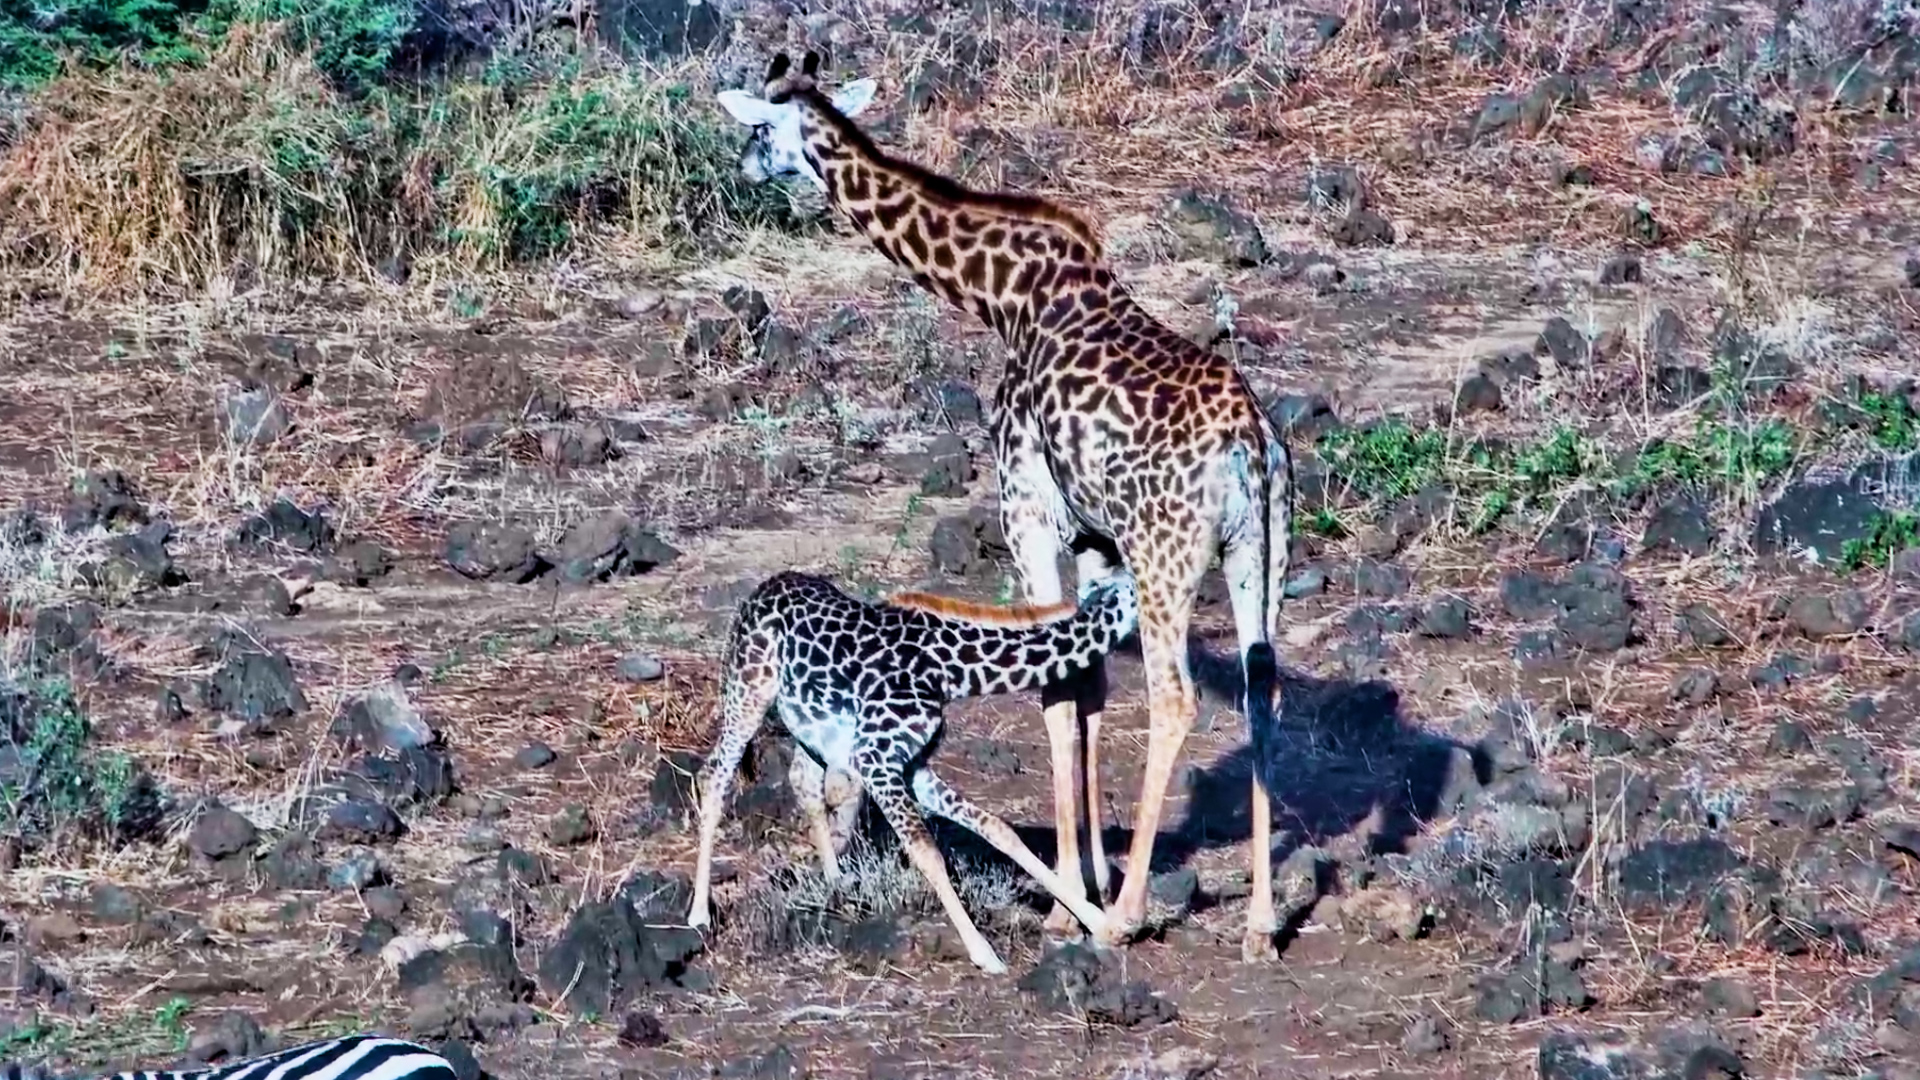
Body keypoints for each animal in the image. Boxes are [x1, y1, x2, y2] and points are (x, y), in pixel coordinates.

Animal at [713, 51, 1294, 960]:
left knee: (1177, 699)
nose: (743, 167)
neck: (1002, 295)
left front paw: (1073, 905)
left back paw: (1126, 918)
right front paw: (1086, 878)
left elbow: (1055, 698)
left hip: (1166, 557)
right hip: (1259, 549)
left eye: (760, 126)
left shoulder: (1029, 507)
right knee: (1260, 684)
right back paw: (1261, 925)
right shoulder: (1095, 536)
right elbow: (1086, 687)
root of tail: (1248, 445)